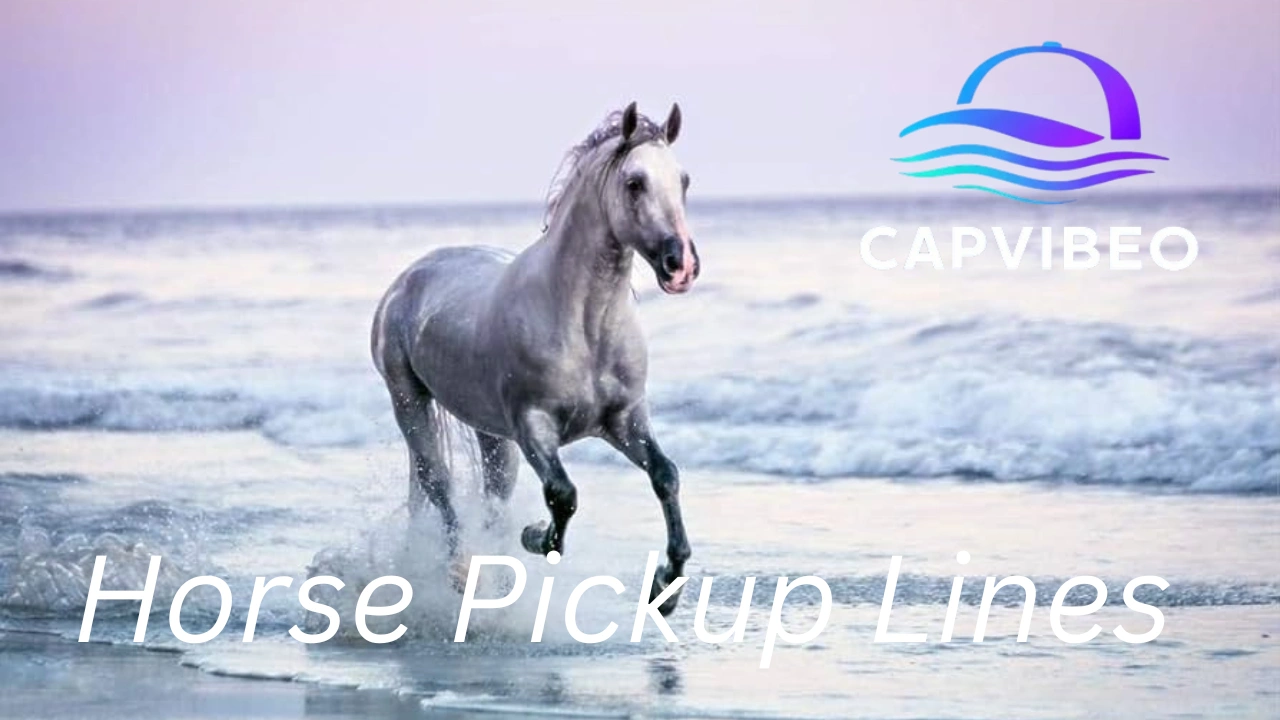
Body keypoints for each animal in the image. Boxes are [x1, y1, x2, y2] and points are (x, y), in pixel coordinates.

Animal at [371, 102, 699, 615]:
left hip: (489, 433)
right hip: (409, 402)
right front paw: (535, 537)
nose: (680, 265)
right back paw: (460, 571)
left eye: (682, 180)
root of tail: (408, 279)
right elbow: (562, 495)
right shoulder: (533, 425)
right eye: (634, 182)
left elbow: (666, 476)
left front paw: (666, 588)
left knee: (492, 498)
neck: (583, 324)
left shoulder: (624, 421)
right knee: (438, 484)